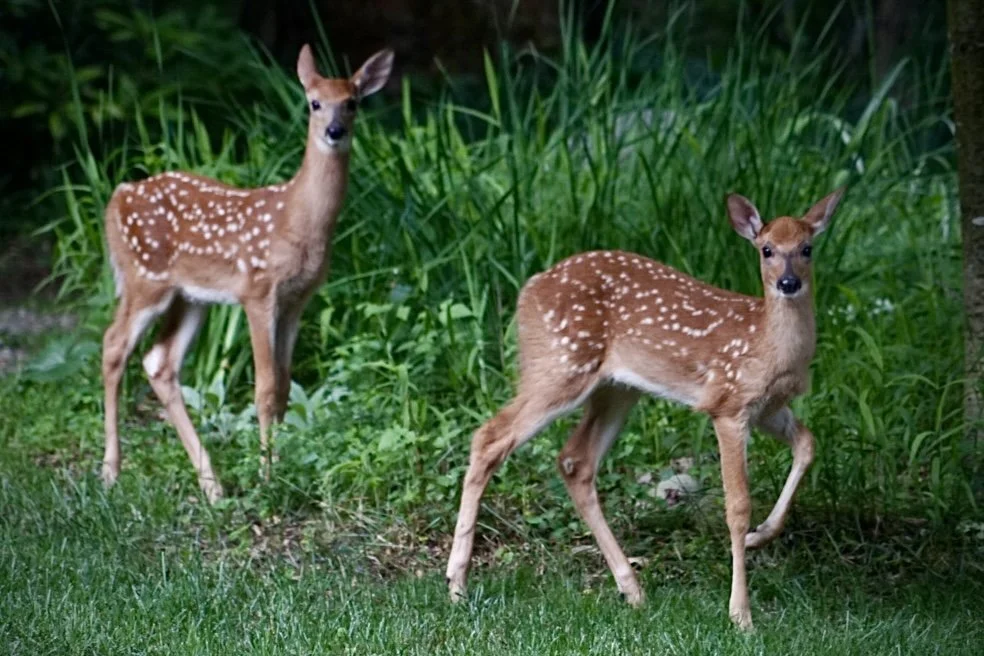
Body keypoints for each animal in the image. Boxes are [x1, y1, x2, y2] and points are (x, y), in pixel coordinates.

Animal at [100, 45, 394, 503]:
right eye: (314, 102)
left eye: (353, 102)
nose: (334, 131)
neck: (296, 219)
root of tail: (117, 197)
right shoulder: (257, 291)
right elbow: (265, 388)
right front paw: (267, 476)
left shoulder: (297, 300)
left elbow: (286, 387)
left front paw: (283, 467)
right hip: (144, 278)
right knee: (114, 346)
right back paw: (111, 472)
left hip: (191, 297)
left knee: (159, 361)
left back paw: (212, 484)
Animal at [445, 189, 845, 630]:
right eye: (767, 249)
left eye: (807, 248)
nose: (788, 283)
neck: (767, 346)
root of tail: (529, 288)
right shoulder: (727, 403)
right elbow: (737, 507)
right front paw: (741, 615)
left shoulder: (769, 407)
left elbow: (807, 444)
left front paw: (762, 534)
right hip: (560, 365)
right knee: (489, 437)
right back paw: (456, 584)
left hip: (616, 388)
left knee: (574, 460)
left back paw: (632, 590)